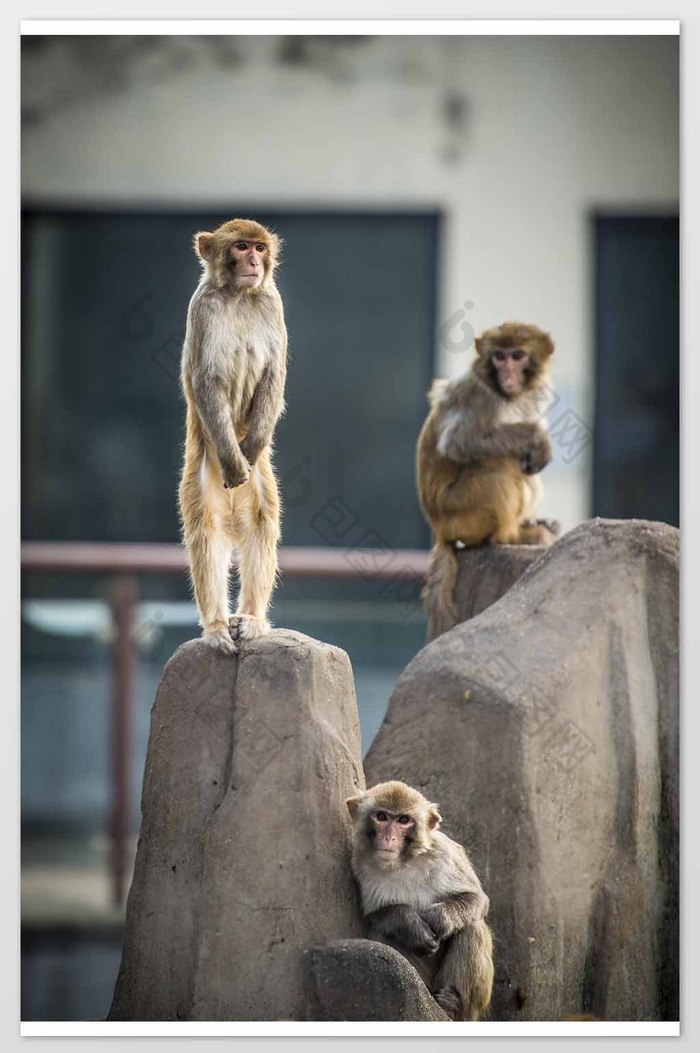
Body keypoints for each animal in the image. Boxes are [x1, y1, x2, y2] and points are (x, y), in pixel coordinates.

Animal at [177, 217, 286, 652]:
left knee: (260, 526)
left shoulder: (272, 303)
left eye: (259, 248)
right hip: (202, 482)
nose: (253, 261)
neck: (239, 295)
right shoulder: (202, 308)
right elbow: (207, 380)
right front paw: (235, 459)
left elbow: (274, 374)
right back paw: (217, 626)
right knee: (205, 535)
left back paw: (253, 619)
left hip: (261, 484)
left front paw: (251, 447)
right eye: (240, 247)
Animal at [343, 783, 490, 1019]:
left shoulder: (444, 853)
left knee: (472, 927)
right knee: (382, 934)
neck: (404, 861)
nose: (389, 838)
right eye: (381, 817)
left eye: (403, 820)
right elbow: (377, 913)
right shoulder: (359, 864)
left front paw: (440, 919)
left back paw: (452, 1007)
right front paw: (412, 926)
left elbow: (477, 899)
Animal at [416, 320, 560, 627]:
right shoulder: (481, 396)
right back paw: (509, 537)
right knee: (499, 463)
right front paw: (538, 437)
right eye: (499, 357)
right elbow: (460, 442)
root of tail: (439, 531)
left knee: (521, 464)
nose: (507, 373)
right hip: (461, 513)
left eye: (517, 356)